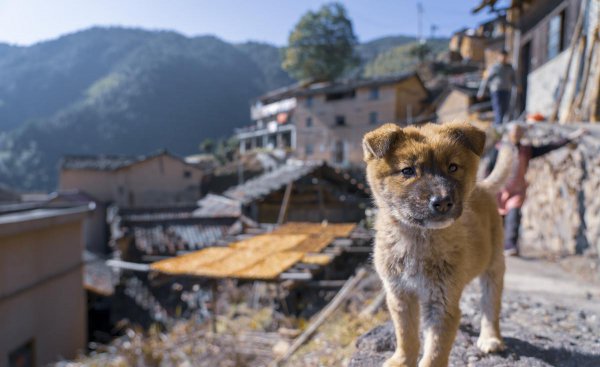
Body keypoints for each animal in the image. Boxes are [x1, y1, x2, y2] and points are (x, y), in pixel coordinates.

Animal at [364, 123, 512, 367]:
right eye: (407, 171)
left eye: (453, 167)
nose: (442, 202)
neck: (417, 238)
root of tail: (482, 186)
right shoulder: (400, 294)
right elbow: (406, 334)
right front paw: (402, 360)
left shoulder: (442, 302)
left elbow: (435, 350)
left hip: (494, 265)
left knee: (491, 303)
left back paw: (491, 337)